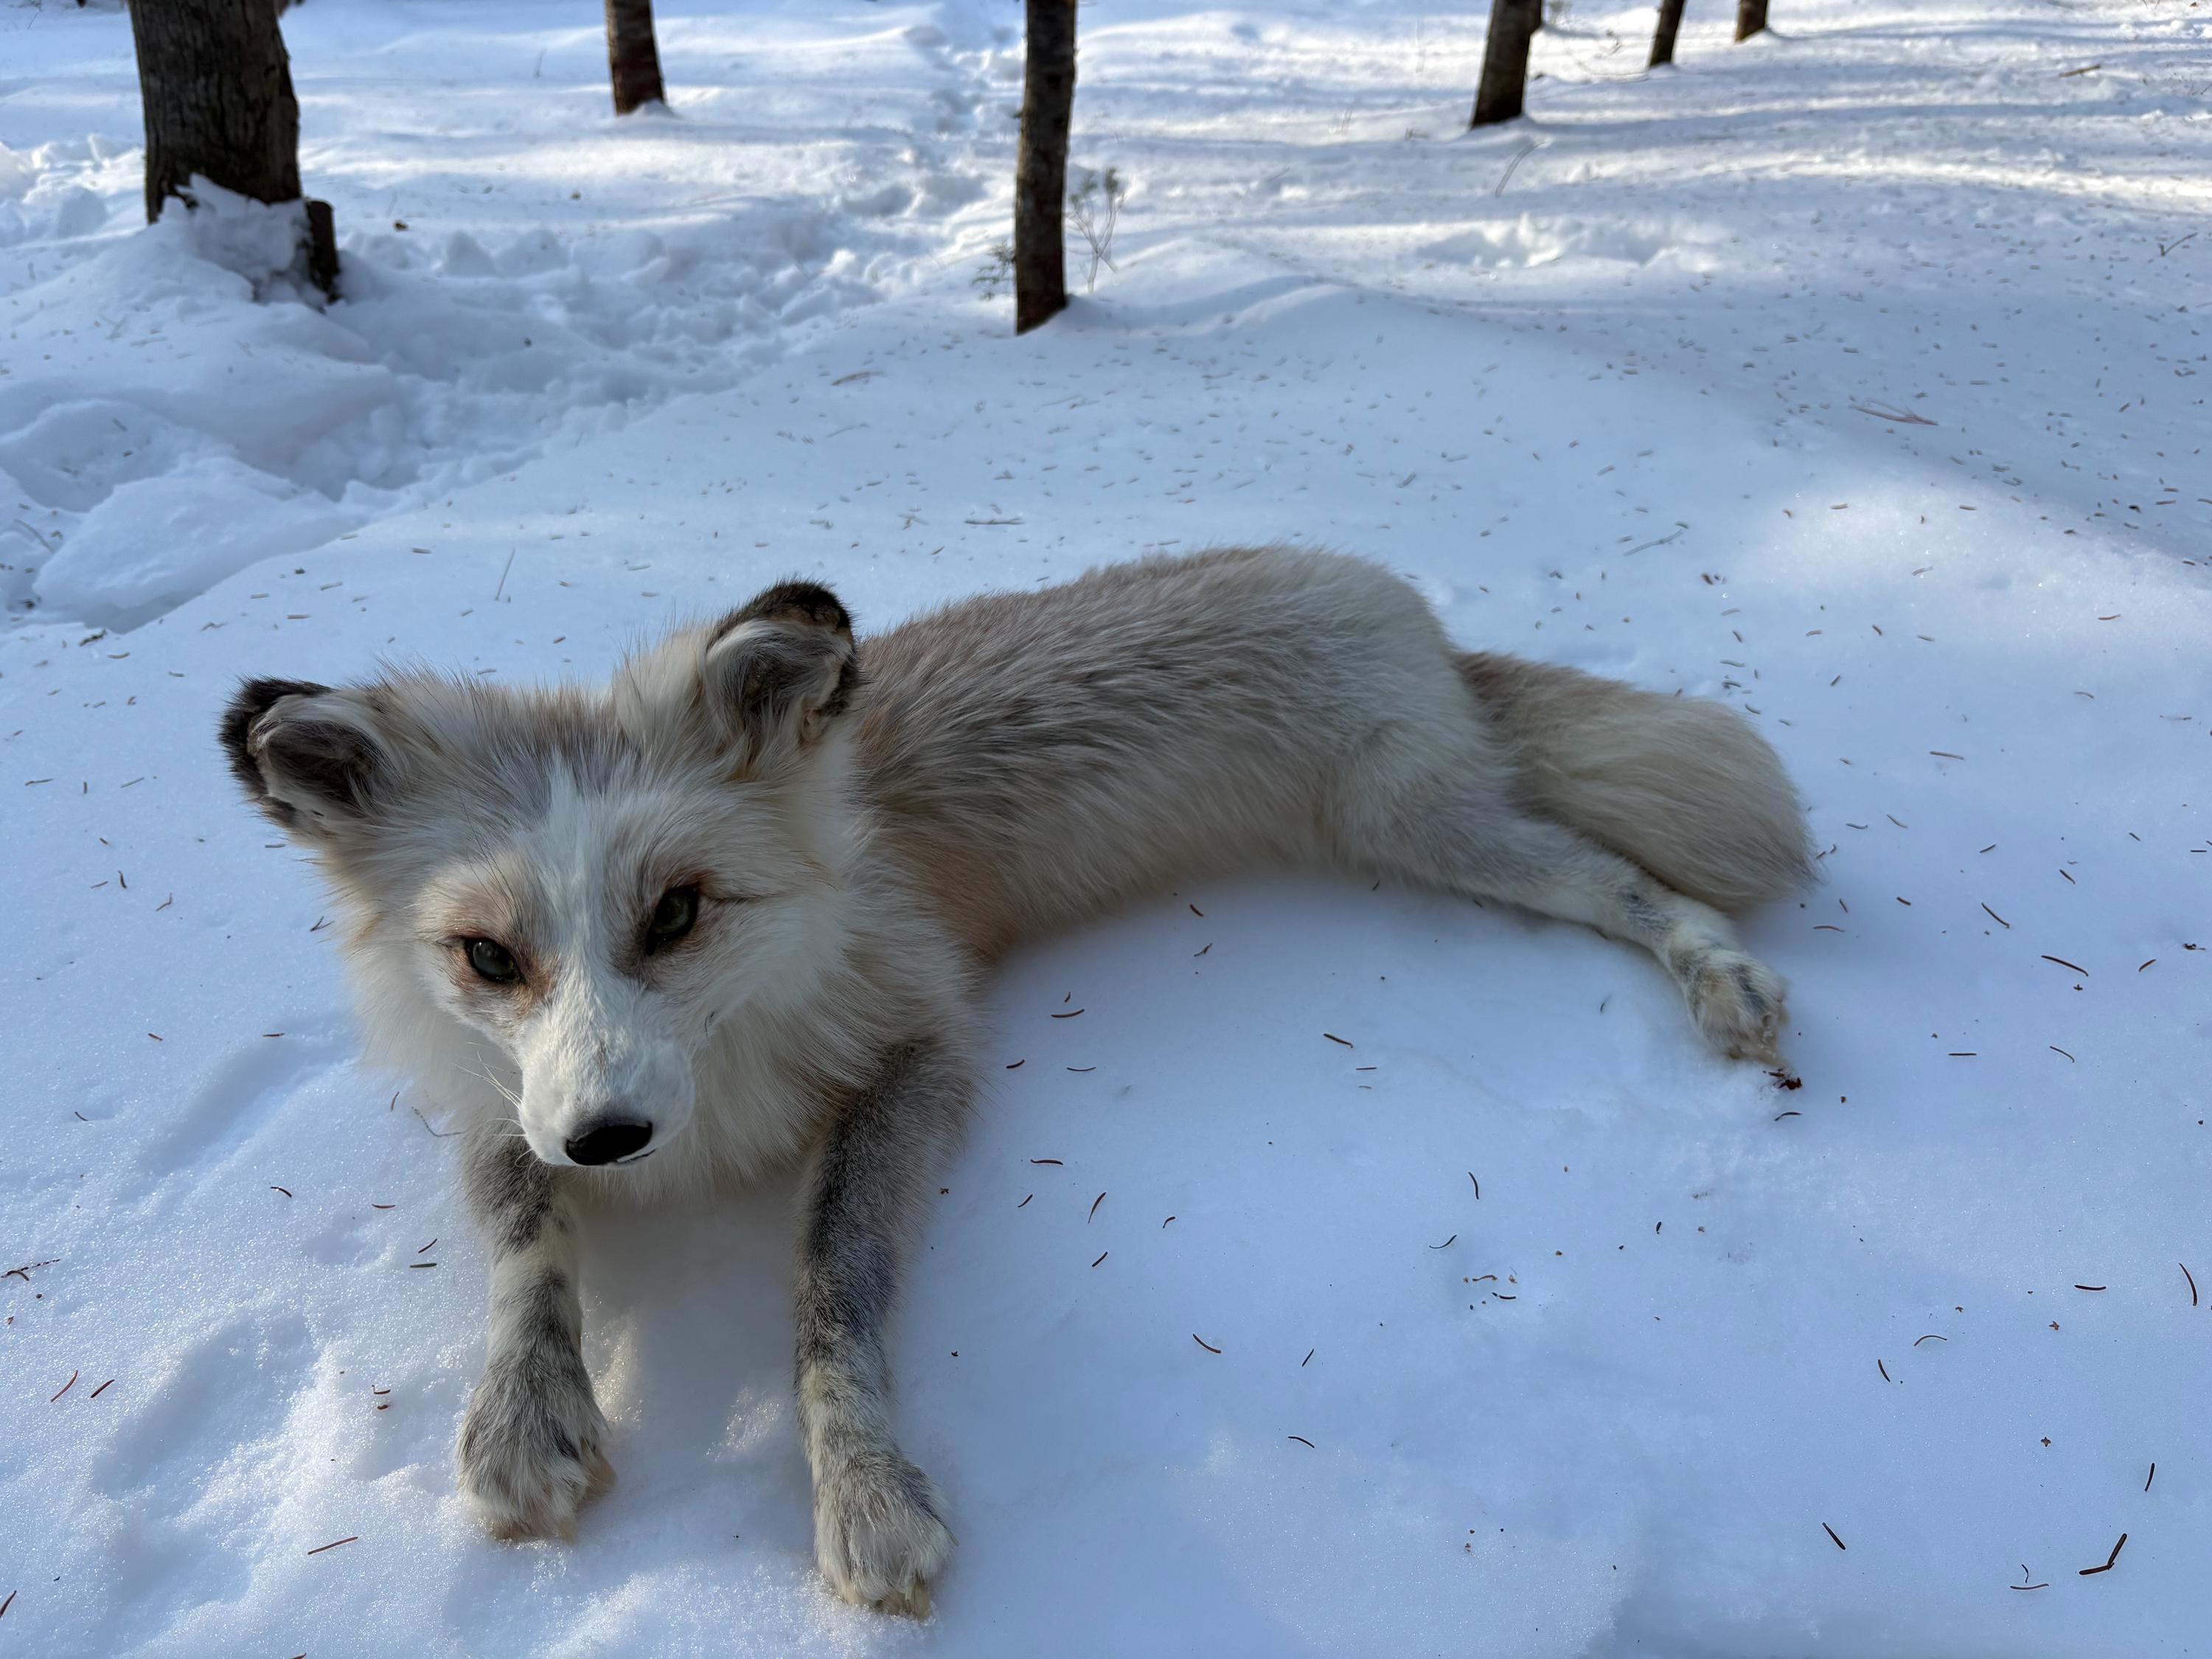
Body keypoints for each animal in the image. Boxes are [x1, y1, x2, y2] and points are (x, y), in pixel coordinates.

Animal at [219, 545, 1810, 1615]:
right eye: (489, 956)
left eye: (675, 913)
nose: (611, 1137)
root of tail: (1396, 601)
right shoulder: (505, 1099)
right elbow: (525, 1250)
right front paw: (525, 1418)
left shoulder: (915, 1047)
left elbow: (830, 1296)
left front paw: (865, 1496)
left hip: (1430, 833)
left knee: (1625, 880)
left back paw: (1726, 981)